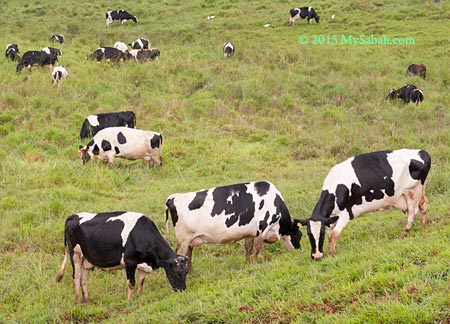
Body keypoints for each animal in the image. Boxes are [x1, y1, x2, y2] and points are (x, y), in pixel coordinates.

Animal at [55, 211, 189, 302]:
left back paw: (87, 301)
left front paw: (140, 297)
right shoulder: (130, 262)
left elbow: (141, 282)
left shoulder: (143, 264)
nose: (182, 290)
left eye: (186, 273)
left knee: (83, 278)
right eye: (177, 273)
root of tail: (74, 216)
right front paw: (130, 301)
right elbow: (132, 283)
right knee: (76, 277)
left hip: (87, 259)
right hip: (75, 255)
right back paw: (78, 301)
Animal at [165, 180, 302, 270]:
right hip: (183, 239)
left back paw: (190, 271)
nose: (299, 251)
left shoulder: (250, 232)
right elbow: (257, 248)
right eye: (299, 235)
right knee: (181, 256)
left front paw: (247, 264)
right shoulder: (264, 226)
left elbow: (248, 248)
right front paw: (255, 264)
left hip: (189, 240)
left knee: (188, 255)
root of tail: (174, 197)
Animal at [298, 150, 430, 260]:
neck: (335, 188)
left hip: (412, 192)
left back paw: (404, 233)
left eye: (321, 234)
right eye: (309, 234)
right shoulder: (331, 218)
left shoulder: (345, 214)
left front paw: (331, 254)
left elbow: (334, 234)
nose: (317, 256)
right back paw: (423, 226)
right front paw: (331, 250)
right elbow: (331, 234)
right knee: (424, 205)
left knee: (413, 212)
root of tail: (421, 152)